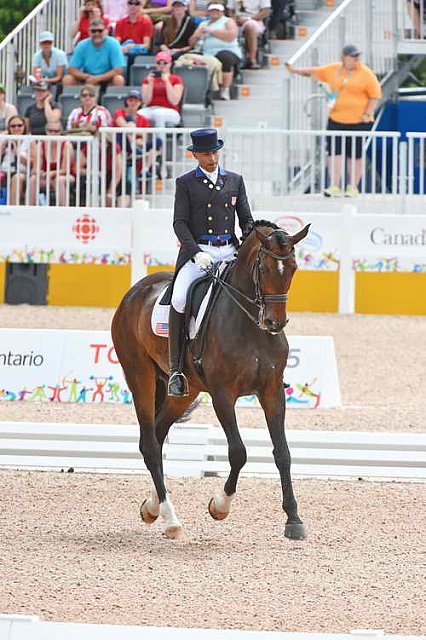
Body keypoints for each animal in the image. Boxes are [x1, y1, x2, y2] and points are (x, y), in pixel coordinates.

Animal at [110, 220, 310, 540]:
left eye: (292, 267)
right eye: (264, 268)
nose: (274, 323)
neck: (250, 324)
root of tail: (136, 291)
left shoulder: (272, 392)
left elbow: (283, 453)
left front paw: (293, 519)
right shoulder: (222, 395)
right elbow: (238, 452)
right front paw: (219, 506)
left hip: (185, 392)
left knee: (159, 432)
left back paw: (152, 508)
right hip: (139, 376)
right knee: (150, 445)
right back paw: (170, 519)